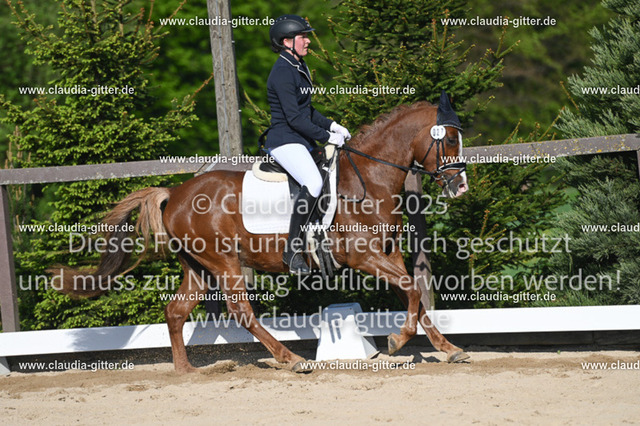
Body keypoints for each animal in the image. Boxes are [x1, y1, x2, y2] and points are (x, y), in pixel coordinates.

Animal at [57, 99, 470, 373]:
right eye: (450, 140)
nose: (461, 186)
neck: (369, 180)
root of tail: (174, 193)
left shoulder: (388, 253)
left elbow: (414, 295)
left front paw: (448, 348)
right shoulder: (364, 256)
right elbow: (412, 290)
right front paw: (397, 342)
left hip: (199, 267)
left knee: (175, 312)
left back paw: (187, 371)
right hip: (223, 262)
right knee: (241, 311)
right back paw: (290, 359)